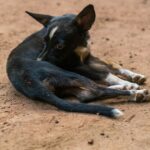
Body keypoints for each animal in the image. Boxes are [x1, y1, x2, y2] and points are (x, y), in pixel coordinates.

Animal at [7, 4, 150, 118]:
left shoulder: (88, 58)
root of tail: (30, 82)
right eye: (44, 41)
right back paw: (134, 91)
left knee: (86, 94)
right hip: (68, 73)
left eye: (59, 46)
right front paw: (125, 81)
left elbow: (111, 65)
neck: (80, 44)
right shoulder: (75, 66)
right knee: (96, 90)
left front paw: (134, 75)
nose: (39, 60)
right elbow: (105, 73)